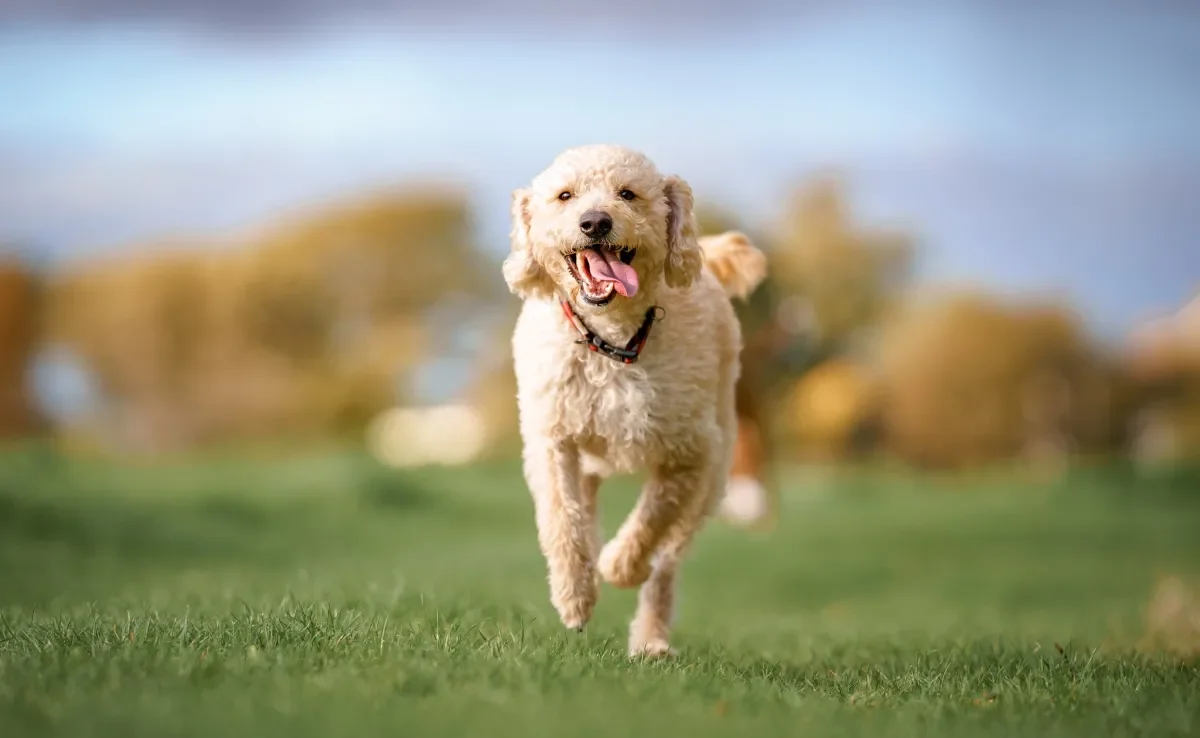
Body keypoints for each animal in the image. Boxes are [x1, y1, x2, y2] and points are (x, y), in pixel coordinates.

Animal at [499, 145, 763, 657]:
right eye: (565, 196)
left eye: (627, 194)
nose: (595, 222)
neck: (612, 342)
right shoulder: (552, 440)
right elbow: (562, 519)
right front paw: (574, 597)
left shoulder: (689, 455)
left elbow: (652, 520)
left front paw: (620, 565)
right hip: (591, 461)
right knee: (585, 514)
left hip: (715, 478)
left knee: (667, 565)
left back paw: (650, 640)